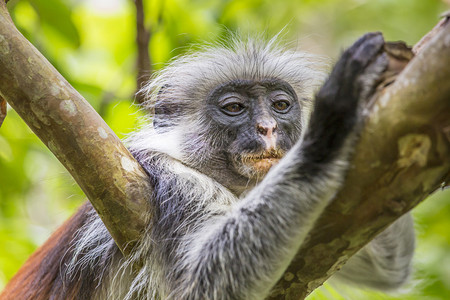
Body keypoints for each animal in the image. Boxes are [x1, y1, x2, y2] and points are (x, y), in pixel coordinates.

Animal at [0, 32, 414, 300]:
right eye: (234, 108)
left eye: (281, 105)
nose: (268, 128)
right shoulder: (171, 179)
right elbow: (198, 286)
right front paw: (330, 122)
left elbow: (389, 268)